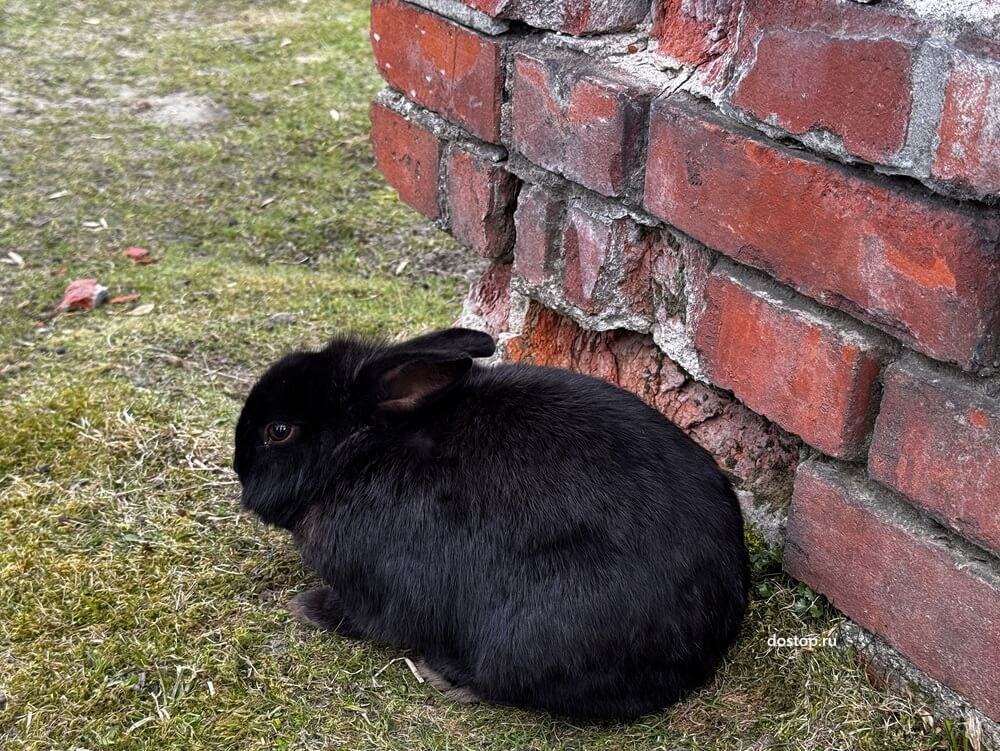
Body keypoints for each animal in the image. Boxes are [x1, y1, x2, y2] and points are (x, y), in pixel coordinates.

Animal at [234, 327, 749, 722]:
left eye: (278, 432)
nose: (239, 469)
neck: (360, 454)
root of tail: (703, 651)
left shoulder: (378, 588)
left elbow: (366, 618)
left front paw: (310, 607)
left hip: (528, 637)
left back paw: (447, 676)